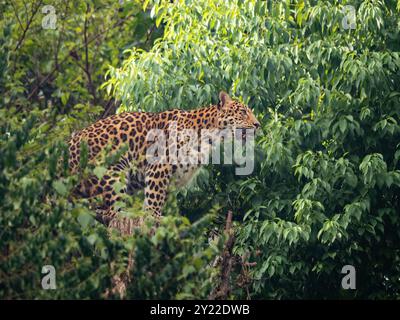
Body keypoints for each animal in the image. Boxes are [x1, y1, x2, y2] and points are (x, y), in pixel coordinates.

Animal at [67, 90, 260, 225]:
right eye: (243, 112)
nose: (258, 124)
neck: (210, 136)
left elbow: (154, 198)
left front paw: (150, 215)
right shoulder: (159, 167)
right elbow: (155, 196)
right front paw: (155, 217)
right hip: (112, 168)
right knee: (109, 211)